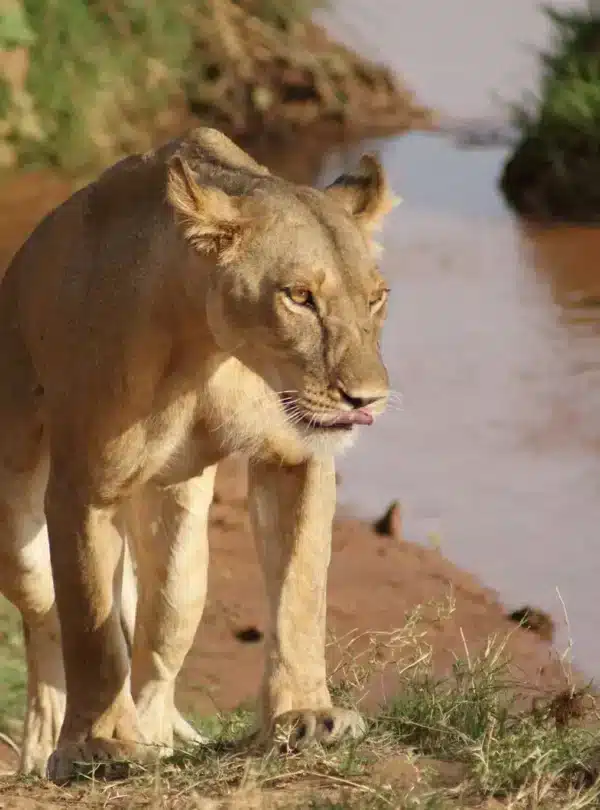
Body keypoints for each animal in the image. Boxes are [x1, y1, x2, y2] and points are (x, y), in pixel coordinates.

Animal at [0, 127, 393, 783]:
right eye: (300, 297)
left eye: (377, 299)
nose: (367, 399)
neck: (207, 350)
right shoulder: (84, 487)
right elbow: (89, 625)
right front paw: (98, 745)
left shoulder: (296, 458)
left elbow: (301, 592)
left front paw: (307, 716)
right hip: (15, 521)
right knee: (45, 618)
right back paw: (44, 746)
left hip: (178, 520)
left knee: (162, 629)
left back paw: (156, 737)